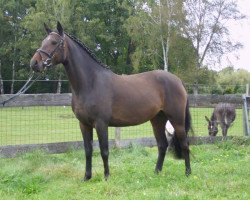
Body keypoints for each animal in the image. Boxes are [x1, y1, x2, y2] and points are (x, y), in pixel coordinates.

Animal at [30, 21, 192, 180]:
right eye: (43, 41)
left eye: (54, 42)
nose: (34, 63)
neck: (91, 83)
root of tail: (177, 80)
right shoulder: (84, 124)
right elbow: (88, 150)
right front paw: (87, 177)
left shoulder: (101, 124)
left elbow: (104, 151)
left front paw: (106, 177)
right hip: (157, 119)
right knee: (162, 145)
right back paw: (156, 172)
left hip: (176, 120)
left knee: (184, 144)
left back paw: (188, 173)